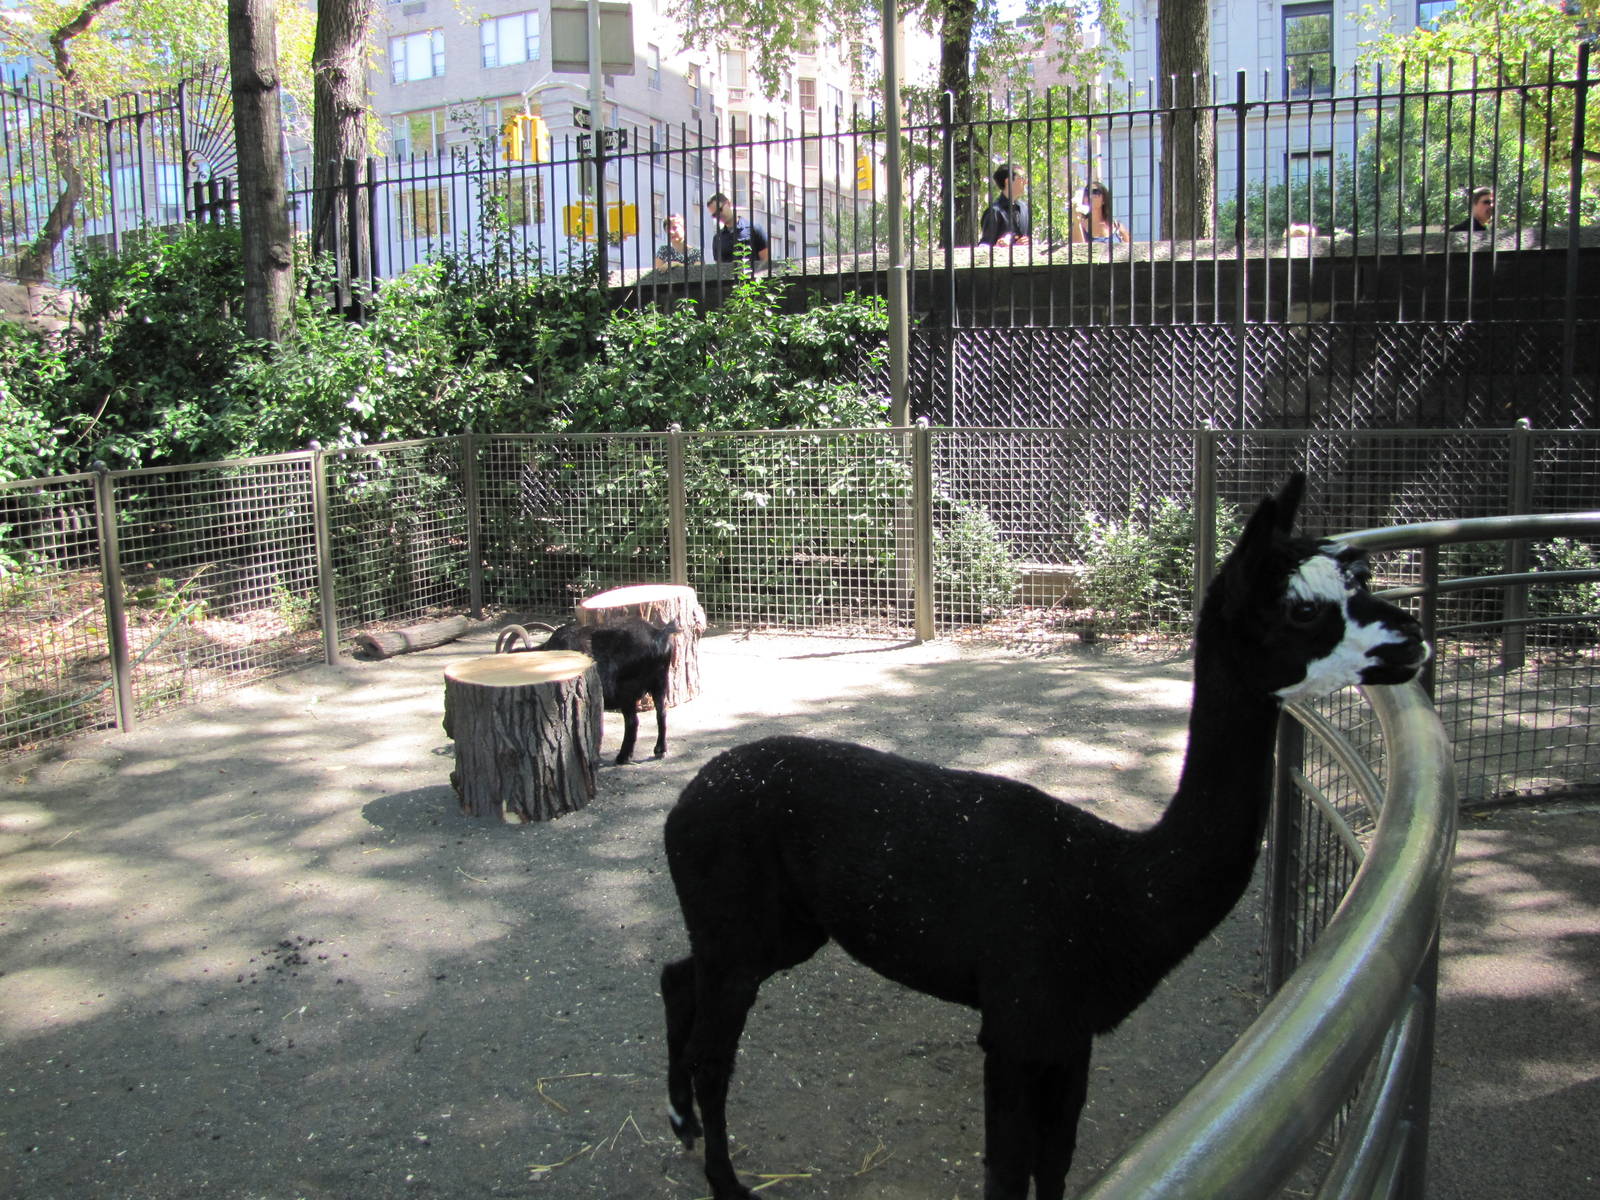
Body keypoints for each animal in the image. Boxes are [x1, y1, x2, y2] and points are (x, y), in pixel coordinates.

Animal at [658, 474, 1429, 1199]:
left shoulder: (1070, 1036)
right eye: (1303, 608)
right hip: (742, 926)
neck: (1120, 887)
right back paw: (727, 1180)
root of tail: (688, 798)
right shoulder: (1017, 1026)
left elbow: (1054, 1165)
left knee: (678, 977)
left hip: (777, 930)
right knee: (712, 1052)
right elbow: (1008, 1172)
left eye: (1360, 580)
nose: (1415, 638)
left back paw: (683, 1122)